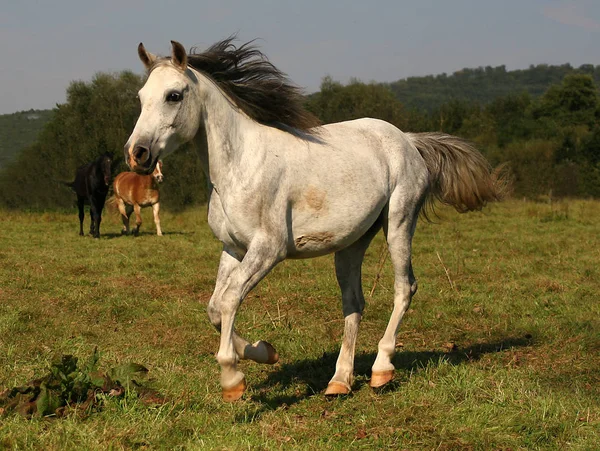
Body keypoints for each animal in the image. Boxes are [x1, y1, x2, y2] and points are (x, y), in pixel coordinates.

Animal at [124, 37, 504, 400]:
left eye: (174, 95)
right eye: (141, 97)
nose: (136, 154)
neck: (240, 166)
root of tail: (408, 141)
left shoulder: (268, 249)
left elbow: (230, 300)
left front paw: (233, 379)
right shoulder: (233, 249)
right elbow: (216, 307)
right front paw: (265, 351)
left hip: (399, 223)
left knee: (404, 288)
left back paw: (381, 370)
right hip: (351, 244)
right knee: (354, 303)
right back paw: (339, 382)